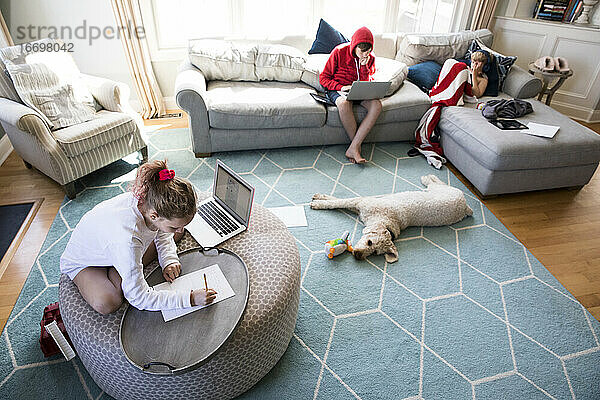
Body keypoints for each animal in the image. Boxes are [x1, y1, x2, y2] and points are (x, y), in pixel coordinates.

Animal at [310, 175, 474, 262]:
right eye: (369, 242)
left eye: (375, 253)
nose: (357, 256)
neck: (387, 221)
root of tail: (465, 206)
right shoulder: (360, 202)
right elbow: (336, 202)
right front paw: (319, 201)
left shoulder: (361, 205)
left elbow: (337, 202)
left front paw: (319, 201)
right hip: (439, 190)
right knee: (436, 182)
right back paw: (427, 177)